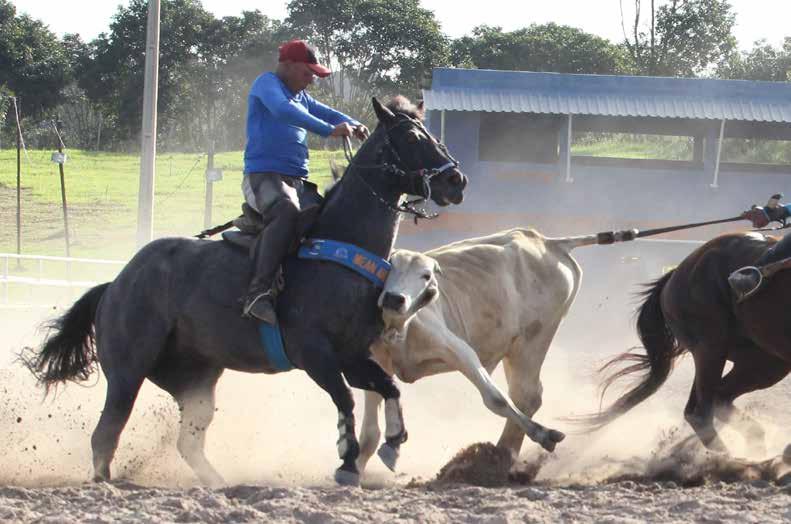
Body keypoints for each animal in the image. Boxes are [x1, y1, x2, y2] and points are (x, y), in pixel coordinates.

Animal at [24, 97, 468, 488]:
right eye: (410, 136)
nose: (456, 180)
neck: (340, 243)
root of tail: (115, 284)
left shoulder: (351, 354)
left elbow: (388, 386)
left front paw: (393, 444)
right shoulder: (315, 355)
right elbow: (345, 399)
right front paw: (346, 462)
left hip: (195, 379)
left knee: (188, 440)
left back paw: (217, 483)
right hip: (127, 371)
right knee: (106, 433)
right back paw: (105, 483)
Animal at [358, 227, 600, 472]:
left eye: (426, 275)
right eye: (389, 266)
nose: (394, 298)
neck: (398, 330)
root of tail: (547, 242)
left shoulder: (459, 351)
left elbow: (496, 398)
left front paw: (544, 434)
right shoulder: (374, 362)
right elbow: (370, 434)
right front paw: (357, 468)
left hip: (534, 339)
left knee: (526, 395)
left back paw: (500, 457)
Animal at [588, 231, 791, 456]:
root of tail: (676, 273)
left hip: (763, 362)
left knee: (717, 399)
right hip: (710, 350)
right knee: (701, 411)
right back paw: (730, 459)